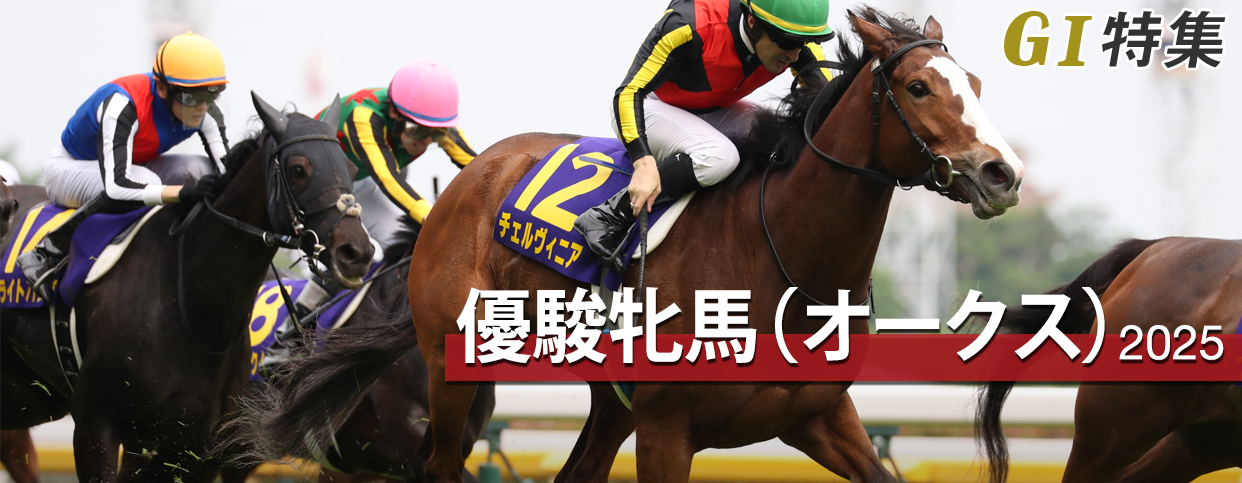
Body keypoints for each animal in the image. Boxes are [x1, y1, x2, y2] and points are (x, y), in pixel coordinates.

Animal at [0, 92, 374, 482]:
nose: (357, 252)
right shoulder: (95, 424)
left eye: (350, 170)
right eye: (299, 168)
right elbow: (118, 184)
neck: (187, 304)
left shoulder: (193, 448)